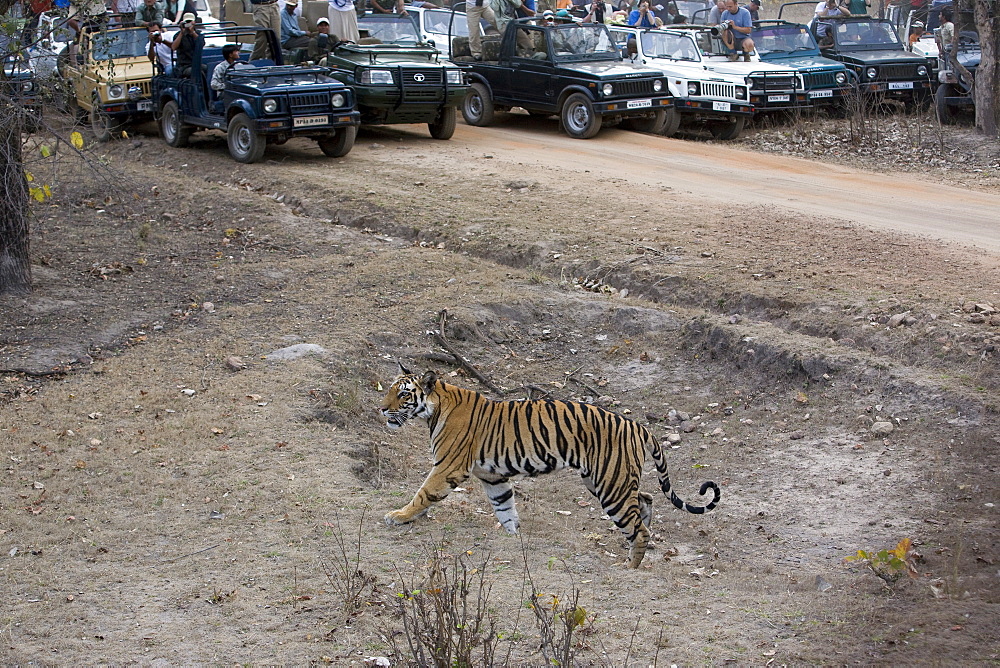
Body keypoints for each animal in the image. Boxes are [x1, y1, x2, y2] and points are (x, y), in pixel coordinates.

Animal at [376, 366, 720, 568]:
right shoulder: (492, 475)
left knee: (639, 528)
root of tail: (638, 426)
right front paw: (515, 537)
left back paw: (630, 568)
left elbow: (424, 493)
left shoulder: (448, 466)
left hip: (611, 483)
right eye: (390, 389)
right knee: (645, 502)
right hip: (604, 480)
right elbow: (505, 508)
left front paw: (399, 516)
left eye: (403, 393)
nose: (381, 409)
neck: (433, 409)